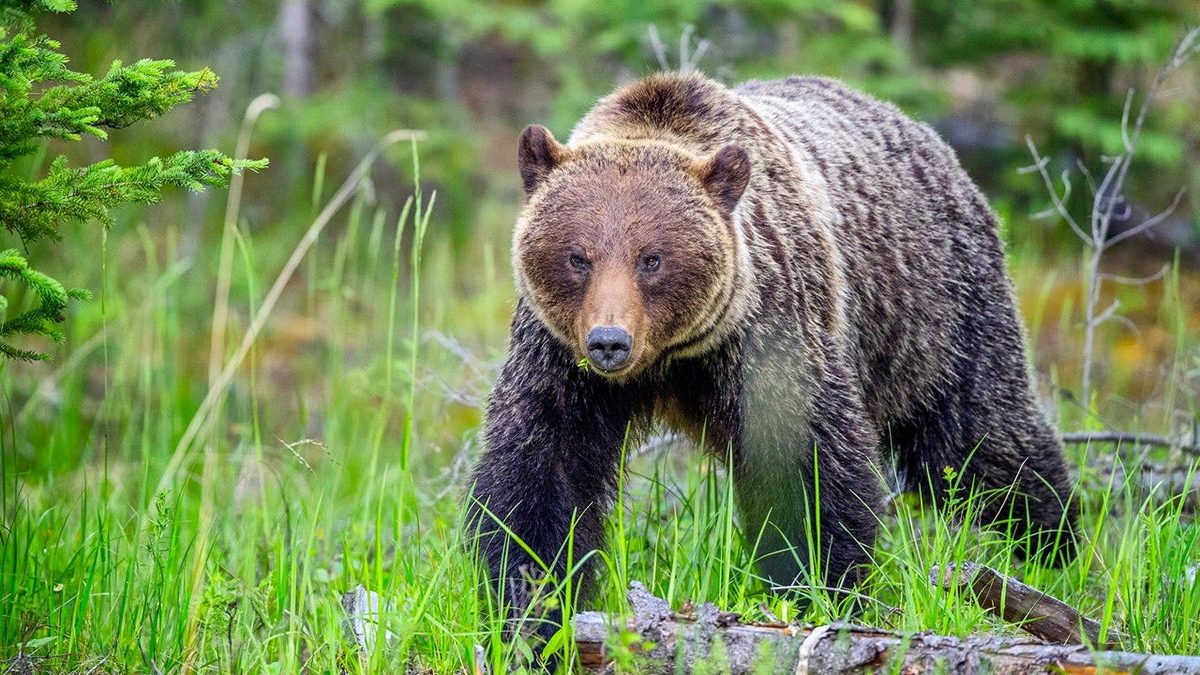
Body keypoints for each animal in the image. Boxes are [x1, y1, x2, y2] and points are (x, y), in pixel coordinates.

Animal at [466, 71, 1077, 640]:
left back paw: (1052, 549)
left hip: (935, 313)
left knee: (981, 441)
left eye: (652, 258)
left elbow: (809, 470)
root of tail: (925, 134)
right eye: (578, 256)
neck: (672, 360)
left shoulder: (771, 334)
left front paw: (824, 590)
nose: (609, 341)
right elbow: (541, 477)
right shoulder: (560, 362)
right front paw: (529, 612)